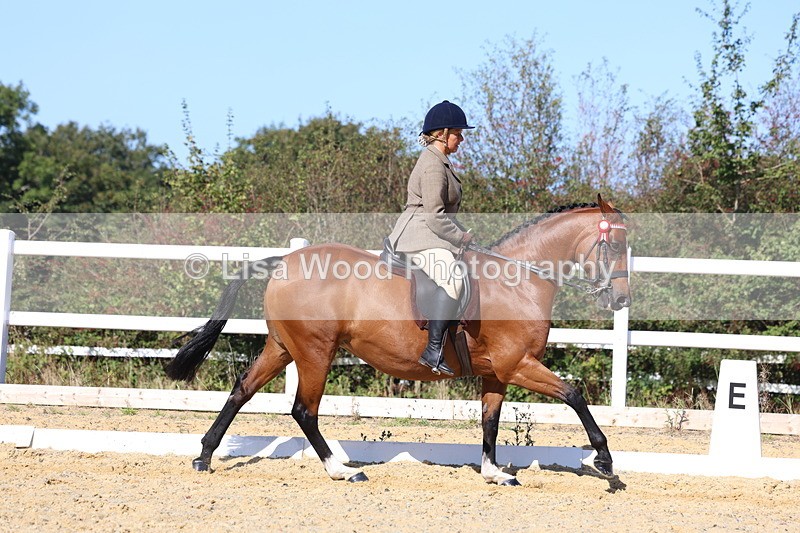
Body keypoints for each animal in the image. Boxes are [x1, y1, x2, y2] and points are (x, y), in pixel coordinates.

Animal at [165, 194, 631, 486]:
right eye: (615, 245)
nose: (621, 299)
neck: (518, 279)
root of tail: (285, 261)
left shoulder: (497, 373)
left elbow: (490, 421)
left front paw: (494, 472)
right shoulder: (518, 364)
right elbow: (574, 395)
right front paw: (605, 461)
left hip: (282, 348)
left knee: (242, 390)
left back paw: (204, 456)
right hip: (315, 352)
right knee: (304, 411)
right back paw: (343, 470)